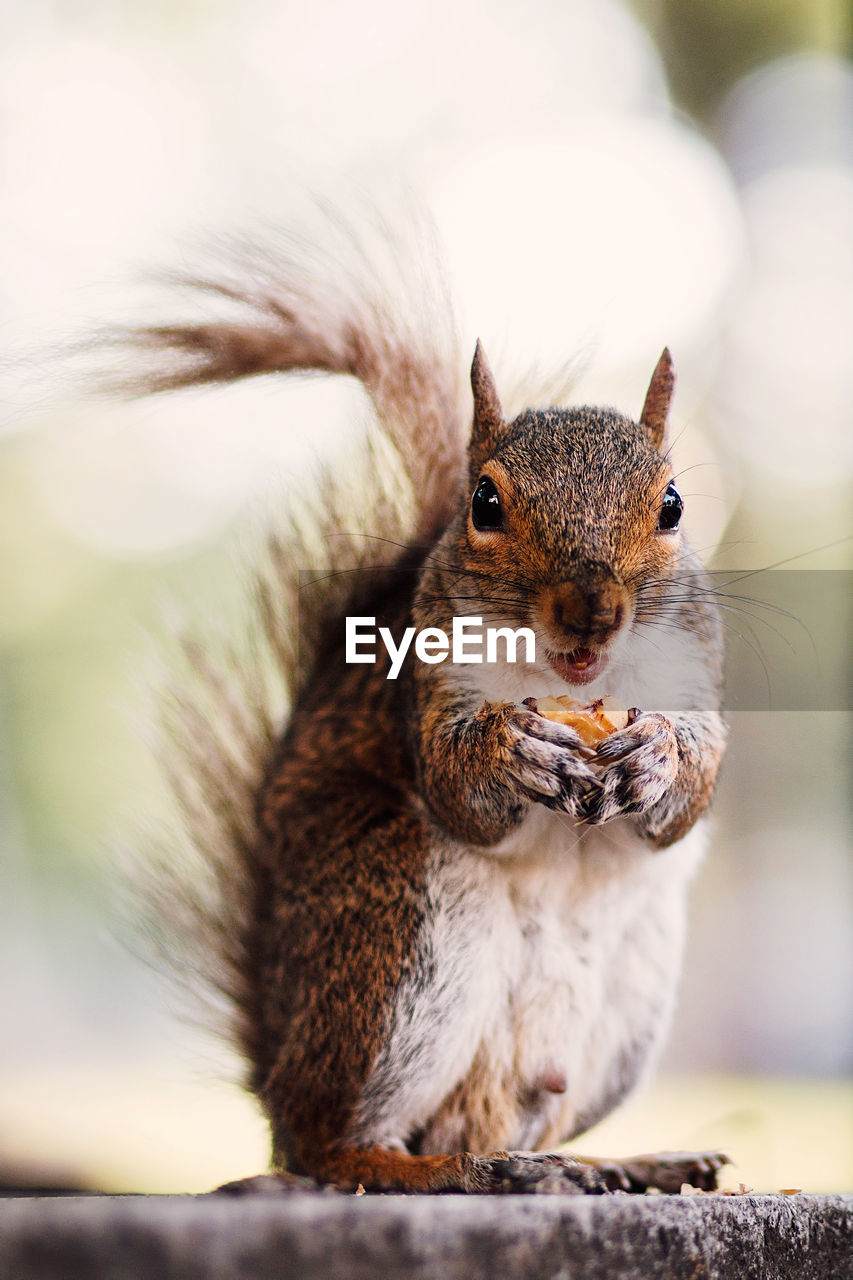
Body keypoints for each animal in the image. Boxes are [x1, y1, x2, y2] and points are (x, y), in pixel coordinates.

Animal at [133, 204, 722, 1192]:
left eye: (672, 504)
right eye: (483, 502)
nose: (591, 613)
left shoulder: (697, 665)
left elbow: (691, 793)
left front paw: (659, 755)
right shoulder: (428, 681)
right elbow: (456, 786)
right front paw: (506, 750)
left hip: (622, 1012)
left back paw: (619, 1161)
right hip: (394, 925)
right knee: (333, 1148)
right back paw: (445, 1171)